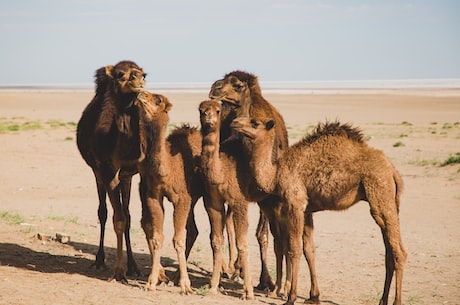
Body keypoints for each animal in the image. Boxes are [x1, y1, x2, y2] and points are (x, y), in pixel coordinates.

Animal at [76, 60, 147, 280]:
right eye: (120, 74)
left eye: (143, 74)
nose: (139, 80)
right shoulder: (108, 172)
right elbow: (118, 219)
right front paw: (118, 271)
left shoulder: (129, 173)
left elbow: (128, 217)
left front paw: (133, 267)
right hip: (97, 172)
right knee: (103, 212)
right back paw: (99, 260)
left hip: (121, 177)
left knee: (124, 213)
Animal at [135, 93, 203, 294]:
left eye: (158, 100)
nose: (141, 94)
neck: (168, 168)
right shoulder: (153, 195)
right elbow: (158, 237)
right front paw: (151, 282)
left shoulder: (182, 199)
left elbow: (178, 240)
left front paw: (186, 285)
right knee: (193, 230)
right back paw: (173, 276)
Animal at [209, 69, 290, 290]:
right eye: (223, 79)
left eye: (238, 85)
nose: (215, 88)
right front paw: (236, 270)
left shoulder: (266, 195)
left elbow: (262, 234)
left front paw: (266, 281)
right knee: (228, 224)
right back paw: (230, 268)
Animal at [232, 116, 408, 304]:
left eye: (254, 123)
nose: (235, 122)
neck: (275, 174)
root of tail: (392, 171)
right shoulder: (307, 210)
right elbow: (309, 250)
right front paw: (313, 297)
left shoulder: (295, 203)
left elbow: (294, 249)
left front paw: (291, 297)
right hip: (390, 201)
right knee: (389, 252)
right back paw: (382, 300)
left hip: (380, 191)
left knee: (398, 252)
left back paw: (397, 301)